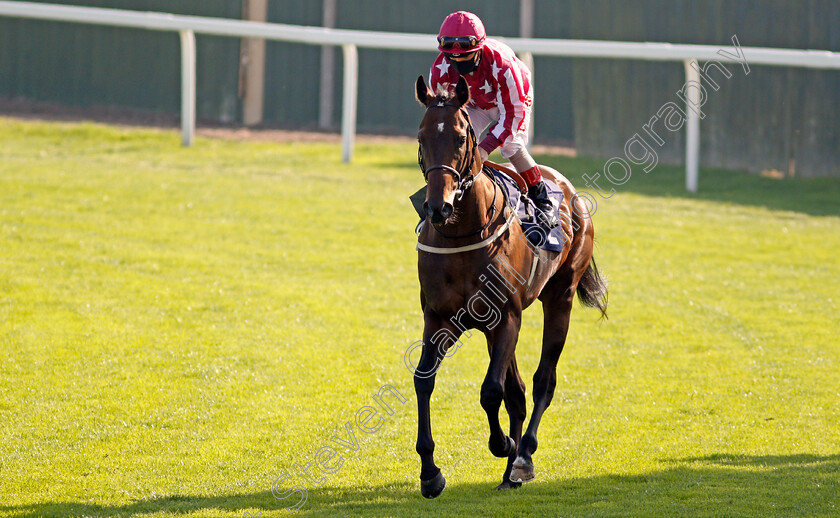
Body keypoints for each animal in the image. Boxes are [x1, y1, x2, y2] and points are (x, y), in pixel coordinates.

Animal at [412, 74, 604, 500]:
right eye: (421, 136)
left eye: (461, 137)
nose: (438, 207)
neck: (462, 234)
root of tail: (568, 189)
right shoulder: (439, 318)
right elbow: (424, 380)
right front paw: (430, 473)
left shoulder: (507, 318)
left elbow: (490, 391)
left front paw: (503, 445)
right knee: (516, 390)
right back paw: (508, 471)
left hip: (559, 298)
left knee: (542, 381)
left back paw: (522, 457)